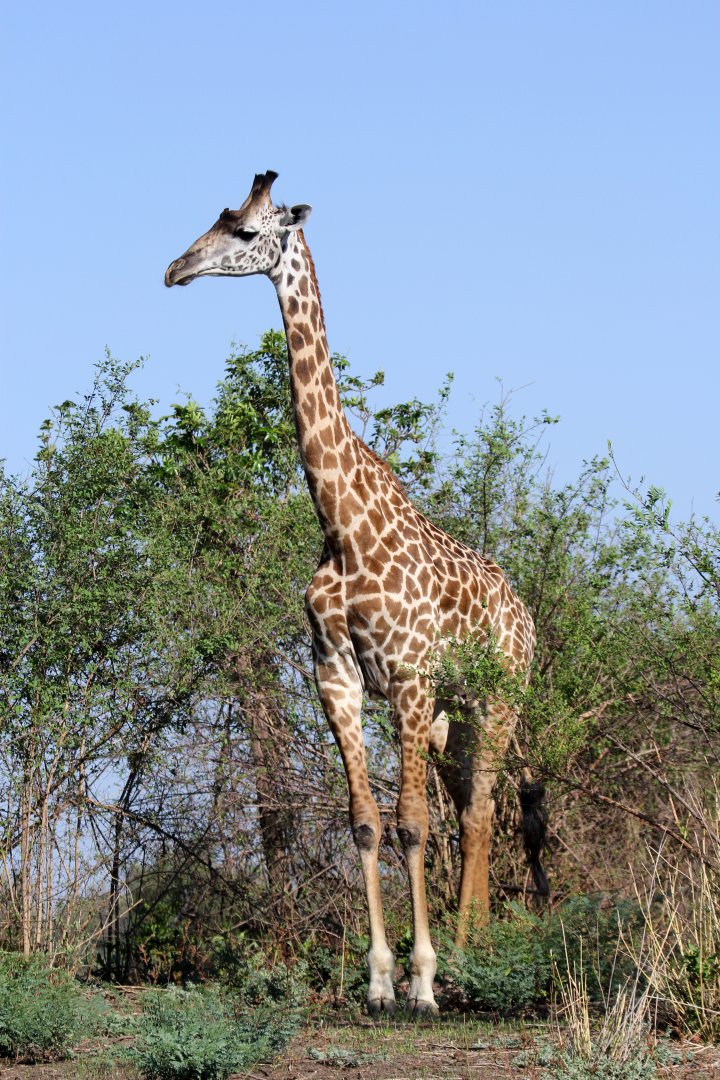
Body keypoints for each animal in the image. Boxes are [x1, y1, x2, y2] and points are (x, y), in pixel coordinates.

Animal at [165, 171, 547, 1016]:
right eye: (218, 216)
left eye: (246, 231)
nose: (175, 269)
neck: (339, 522)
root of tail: (525, 612)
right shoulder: (335, 675)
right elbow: (366, 823)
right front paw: (377, 980)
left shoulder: (405, 675)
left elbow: (410, 824)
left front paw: (423, 982)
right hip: (452, 710)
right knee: (471, 805)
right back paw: (470, 944)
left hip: (497, 694)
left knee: (478, 810)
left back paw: (466, 956)